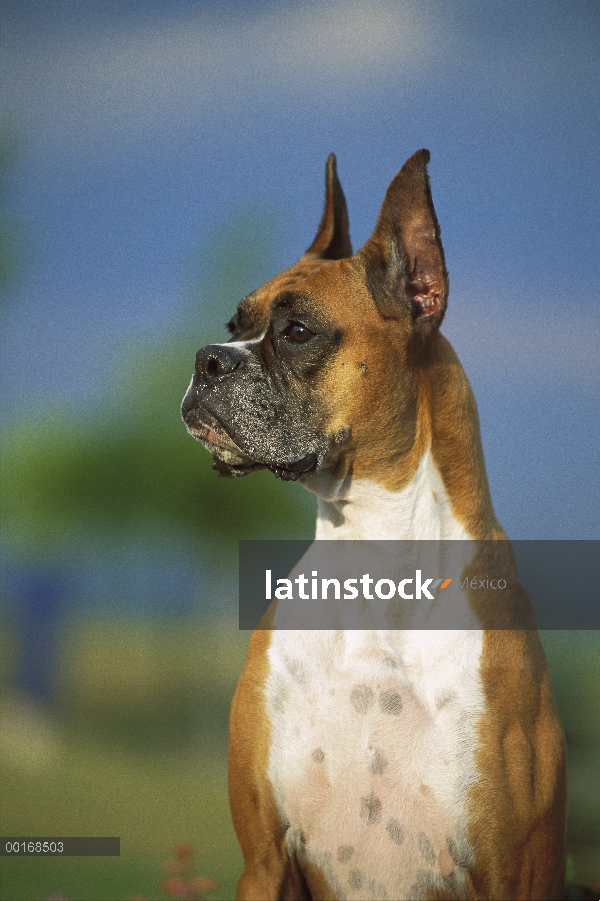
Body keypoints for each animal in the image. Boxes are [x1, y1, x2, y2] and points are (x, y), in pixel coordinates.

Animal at [182, 153, 568, 900]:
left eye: (297, 332)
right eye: (234, 324)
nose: (206, 359)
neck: (375, 564)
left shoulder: (513, 872)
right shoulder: (264, 860)